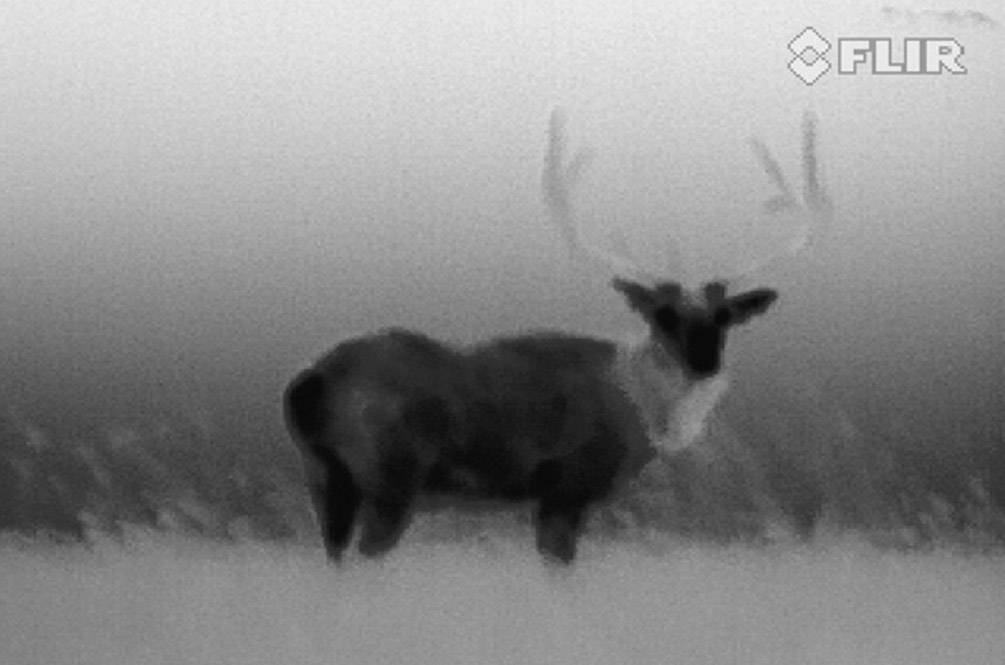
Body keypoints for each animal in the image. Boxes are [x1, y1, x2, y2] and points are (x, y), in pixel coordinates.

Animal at [283, 110, 830, 564]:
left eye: (724, 316)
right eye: (663, 315)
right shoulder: (568, 486)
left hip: (324, 477)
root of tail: (311, 382)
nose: (704, 362)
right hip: (390, 476)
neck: (638, 406)